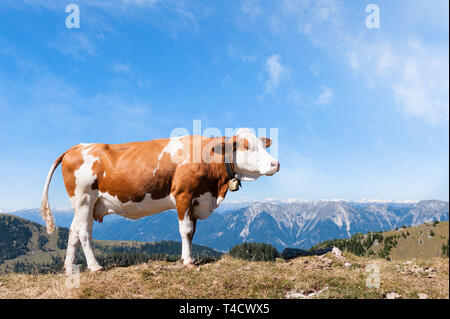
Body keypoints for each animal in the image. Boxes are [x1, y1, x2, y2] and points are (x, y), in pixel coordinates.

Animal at [41, 129, 278, 274]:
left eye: (262, 145)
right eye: (246, 146)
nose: (276, 163)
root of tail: (75, 147)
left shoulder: (197, 200)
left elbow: (192, 233)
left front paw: (188, 258)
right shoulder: (183, 195)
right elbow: (185, 230)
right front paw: (188, 262)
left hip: (87, 204)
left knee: (73, 232)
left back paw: (69, 269)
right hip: (84, 199)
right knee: (83, 233)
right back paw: (95, 266)